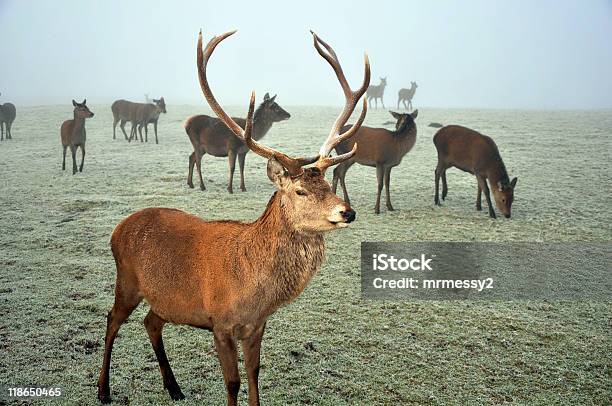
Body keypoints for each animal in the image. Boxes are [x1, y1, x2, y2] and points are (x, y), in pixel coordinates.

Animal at [95, 29, 368, 406]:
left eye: (327, 184)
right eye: (300, 191)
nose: (347, 211)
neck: (254, 290)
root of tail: (119, 227)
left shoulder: (257, 325)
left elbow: (254, 375)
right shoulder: (221, 324)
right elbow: (233, 382)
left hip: (165, 298)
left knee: (151, 322)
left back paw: (174, 387)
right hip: (127, 282)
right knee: (111, 320)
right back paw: (104, 390)